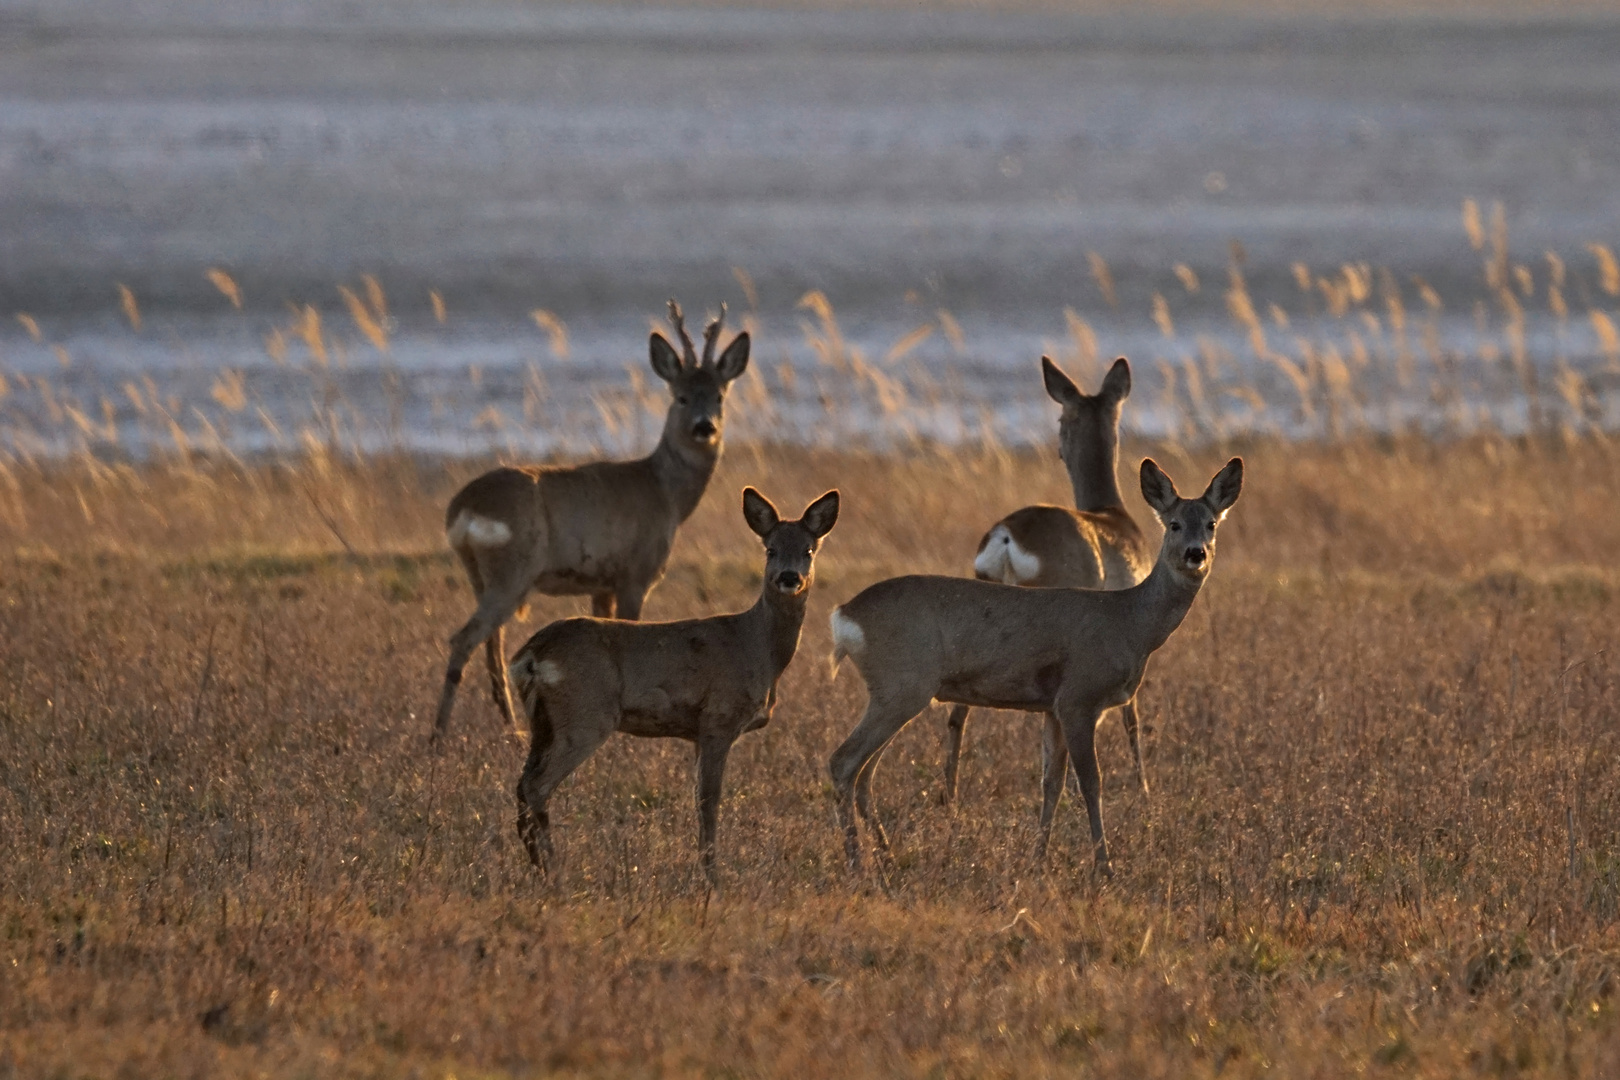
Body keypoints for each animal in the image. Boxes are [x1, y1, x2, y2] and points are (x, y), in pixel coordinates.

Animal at [437, 304, 751, 744]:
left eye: (720, 395)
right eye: (681, 396)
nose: (704, 426)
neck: (665, 493)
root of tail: (462, 508)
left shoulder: (601, 583)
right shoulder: (636, 572)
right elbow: (633, 630)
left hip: (483, 575)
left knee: (490, 643)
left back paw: (511, 727)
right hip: (512, 569)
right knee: (464, 638)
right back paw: (439, 735)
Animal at [508, 488, 842, 887]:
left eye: (808, 549)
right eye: (770, 549)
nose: (789, 577)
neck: (758, 647)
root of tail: (530, 654)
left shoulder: (697, 731)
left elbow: (698, 797)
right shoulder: (718, 718)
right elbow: (709, 799)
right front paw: (713, 877)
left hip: (542, 721)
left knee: (522, 783)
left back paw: (537, 866)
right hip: (585, 714)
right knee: (537, 785)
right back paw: (554, 872)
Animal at [829, 459, 1244, 880]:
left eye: (1211, 523)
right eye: (1173, 524)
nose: (1196, 553)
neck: (1130, 623)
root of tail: (844, 616)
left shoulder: (1052, 707)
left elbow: (1051, 783)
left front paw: (1038, 859)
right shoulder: (1079, 697)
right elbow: (1090, 782)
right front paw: (1104, 866)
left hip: (897, 692)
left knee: (865, 772)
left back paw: (885, 855)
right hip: (902, 685)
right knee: (844, 762)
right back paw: (857, 862)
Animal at [946, 359, 1159, 806]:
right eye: (1062, 417)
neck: (1113, 516)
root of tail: (1006, 535)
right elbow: (1130, 714)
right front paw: (1144, 788)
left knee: (957, 712)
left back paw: (948, 798)